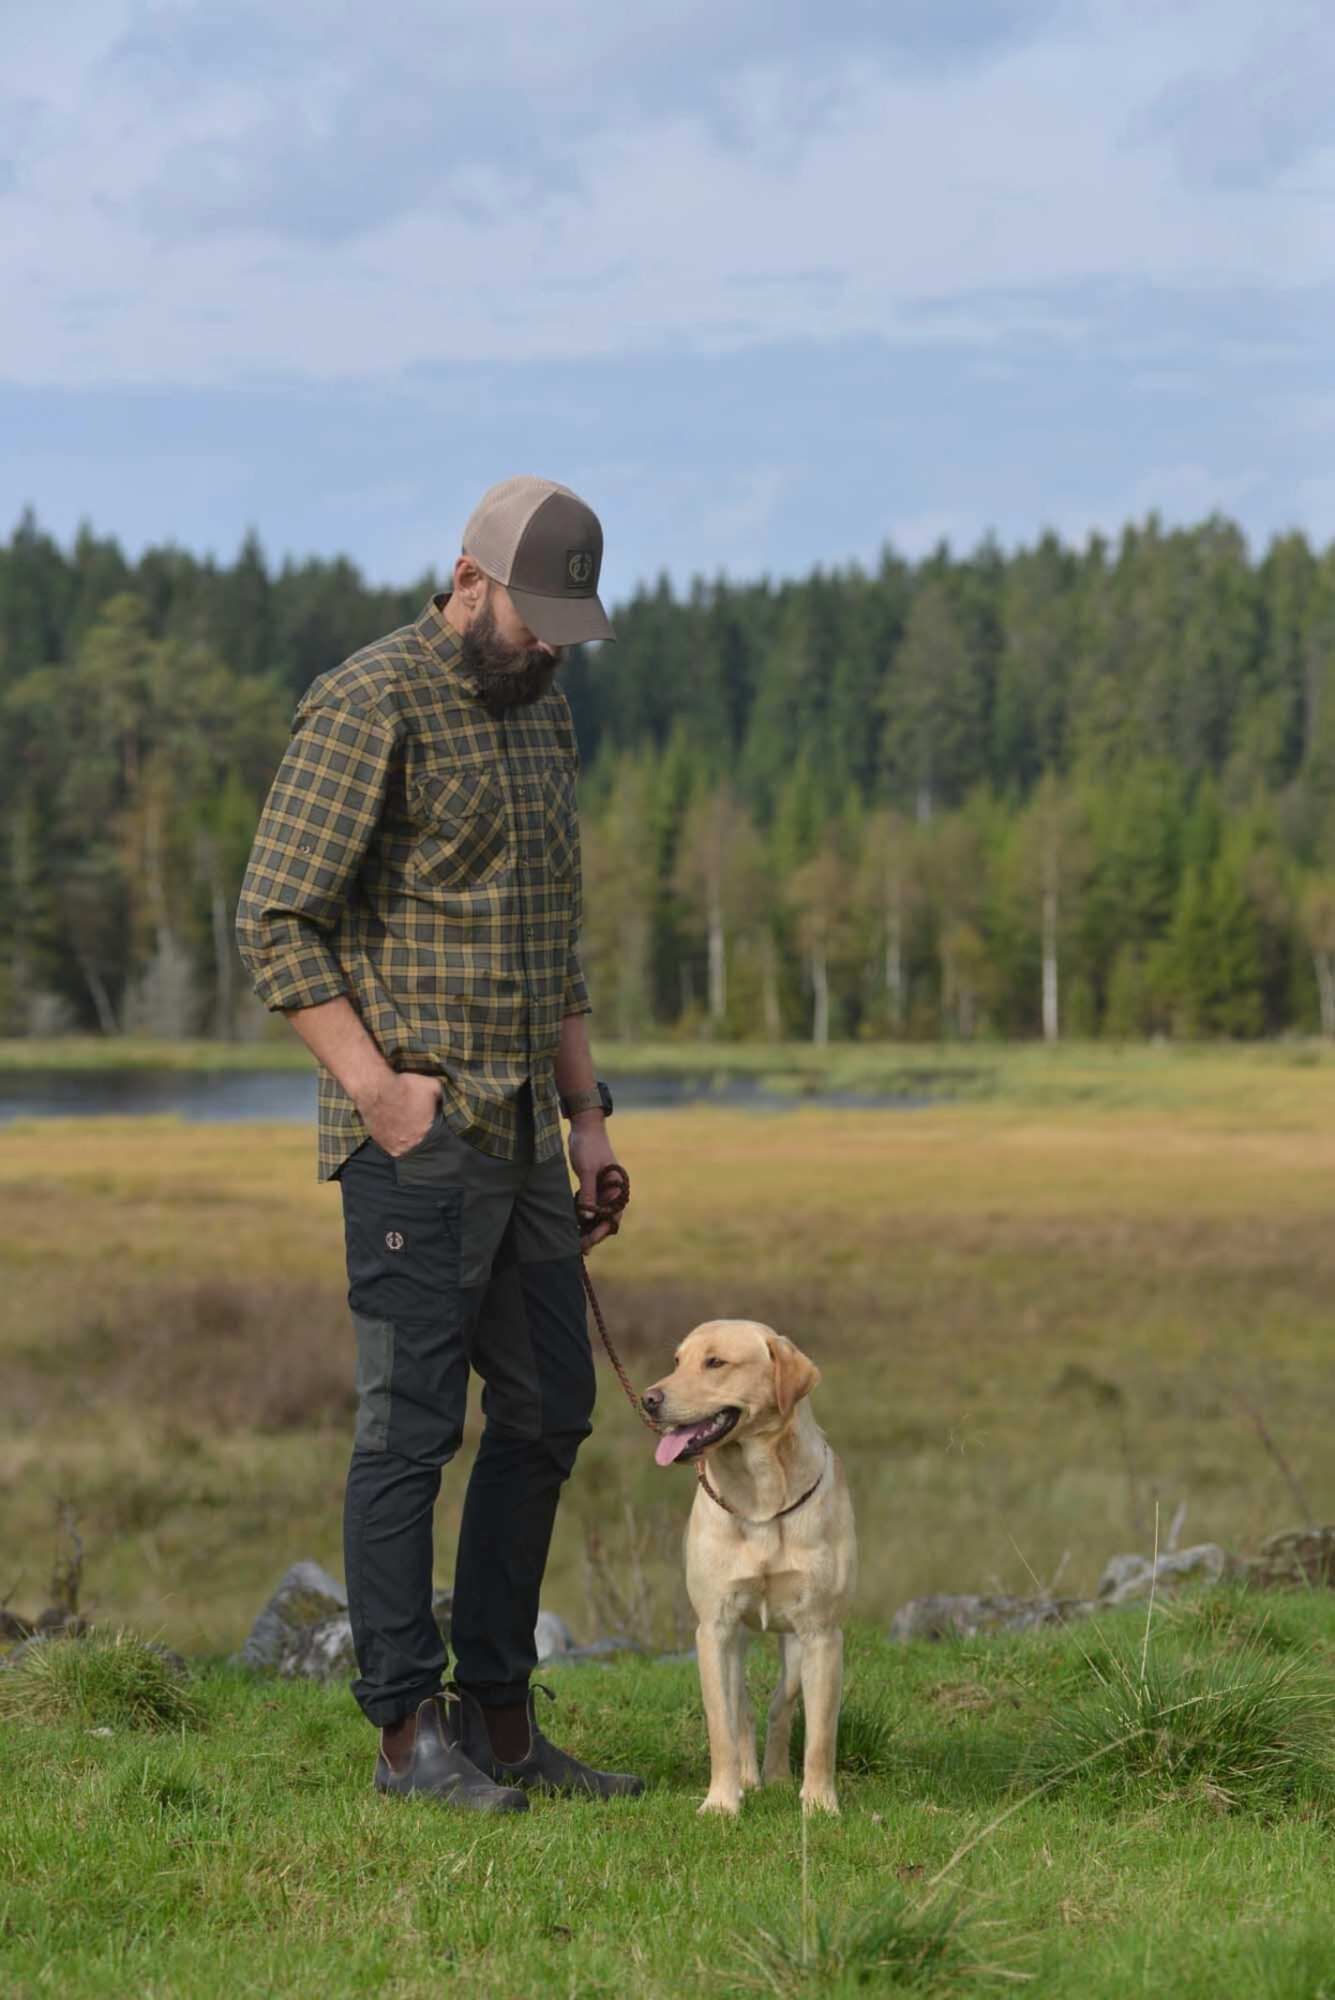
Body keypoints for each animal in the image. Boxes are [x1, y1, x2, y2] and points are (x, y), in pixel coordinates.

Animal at [643, 1320, 855, 1824]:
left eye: (715, 1362)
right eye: (677, 1361)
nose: (648, 1399)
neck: (760, 1498)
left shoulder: (821, 1632)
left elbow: (821, 1735)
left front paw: (820, 1803)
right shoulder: (713, 1629)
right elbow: (722, 1725)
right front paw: (722, 1801)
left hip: (795, 1645)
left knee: (781, 1705)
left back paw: (775, 1776)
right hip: (735, 1641)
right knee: (742, 1711)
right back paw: (749, 1778)